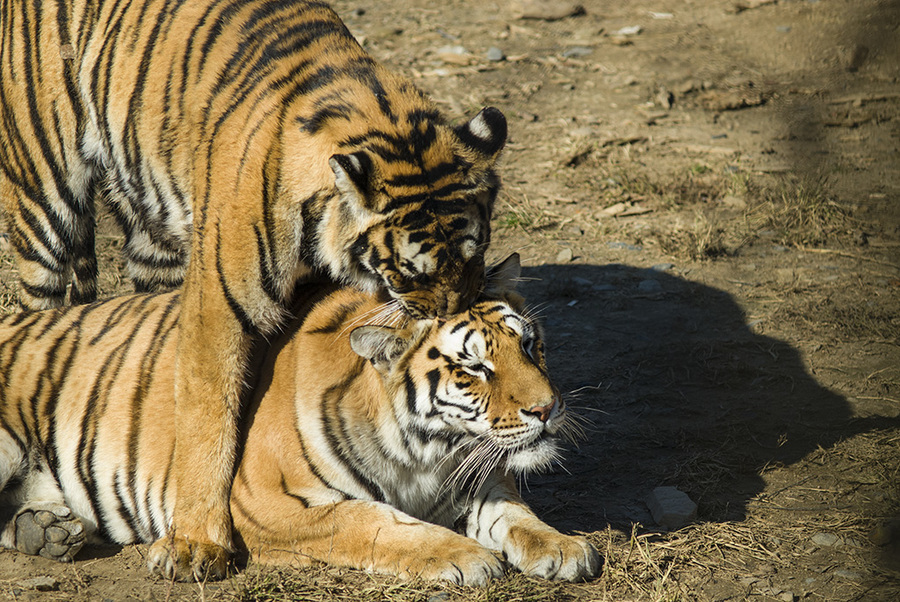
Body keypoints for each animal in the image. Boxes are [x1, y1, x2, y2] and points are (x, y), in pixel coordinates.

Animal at [0, 1, 506, 580]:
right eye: (412, 271)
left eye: (475, 254)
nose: (450, 320)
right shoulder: (219, 305)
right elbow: (205, 411)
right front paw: (197, 543)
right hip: (44, 193)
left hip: (153, 240)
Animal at [1, 255, 604, 584]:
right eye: (474, 366)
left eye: (530, 345)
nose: (547, 409)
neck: (427, 453)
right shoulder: (263, 503)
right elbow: (369, 520)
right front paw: (465, 557)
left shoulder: (476, 480)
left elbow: (516, 513)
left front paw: (564, 548)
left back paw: (47, 532)